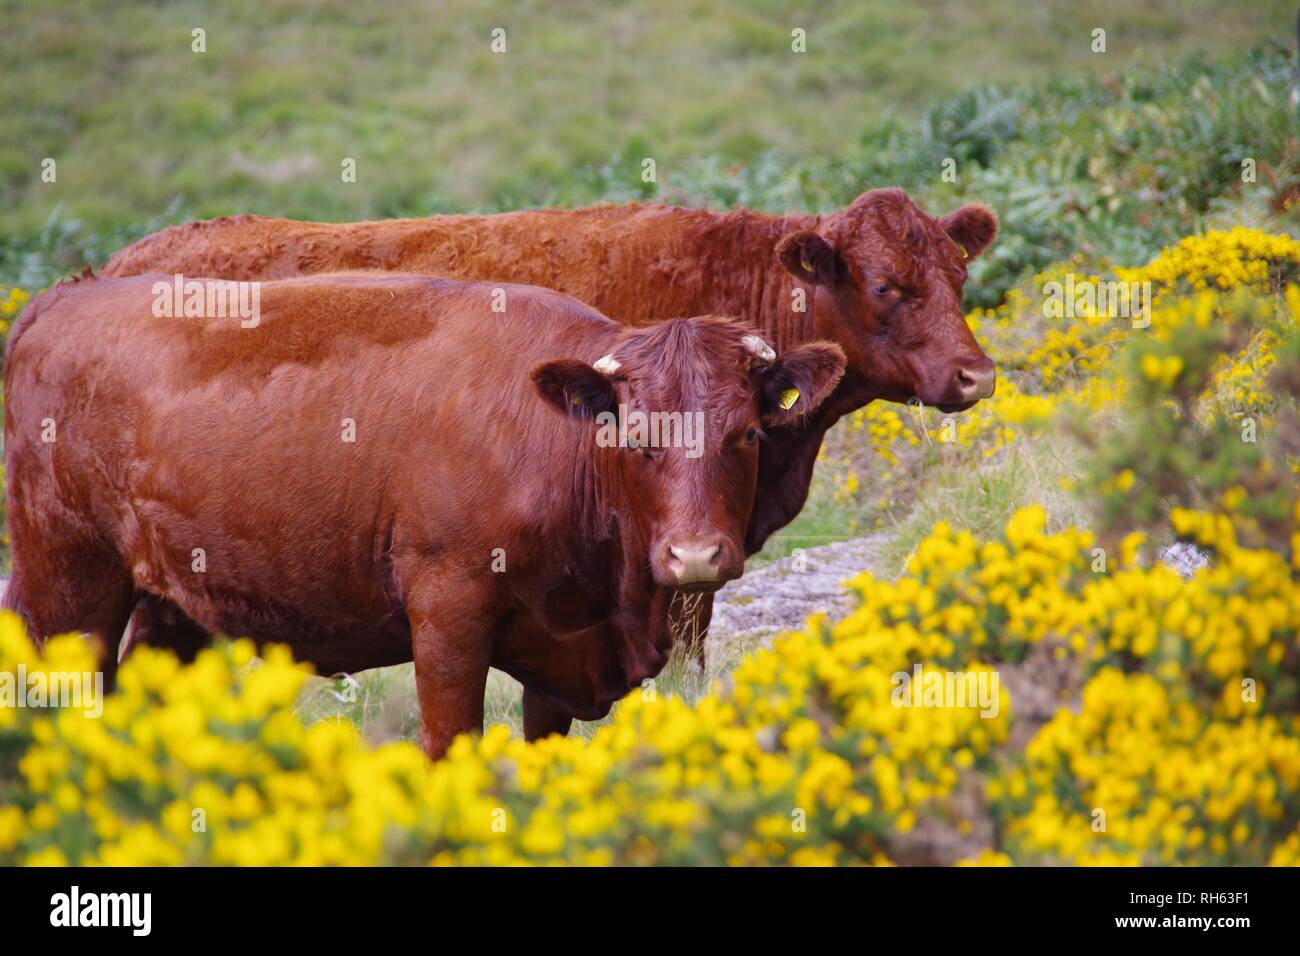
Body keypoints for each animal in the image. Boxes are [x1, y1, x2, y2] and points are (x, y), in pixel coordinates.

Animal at [2, 269, 842, 754]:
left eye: (747, 434)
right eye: (634, 437)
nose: (694, 556)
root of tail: (55, 301)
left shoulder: (562, 651)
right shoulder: (448, 614)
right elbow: (449, 744)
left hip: (175, 605)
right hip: (66, 586)